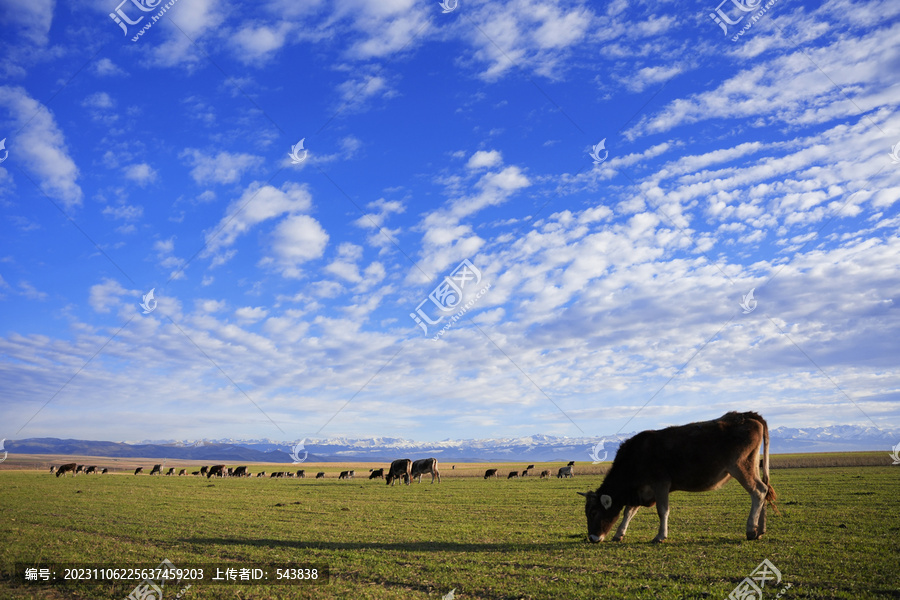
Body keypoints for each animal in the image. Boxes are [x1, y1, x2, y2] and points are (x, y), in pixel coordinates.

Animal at [580, 412, 776, 544]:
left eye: (594, 512)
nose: (592, 538)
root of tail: (744, 415)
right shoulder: (641, 490)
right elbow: (629, 511)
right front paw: (619, 534)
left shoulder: (661, 484)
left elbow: (662, 510)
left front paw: (660, 536)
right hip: (752, 465)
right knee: (764, 491)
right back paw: (761, 530)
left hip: (741, 467)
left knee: (759, 491)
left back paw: (751, 530)